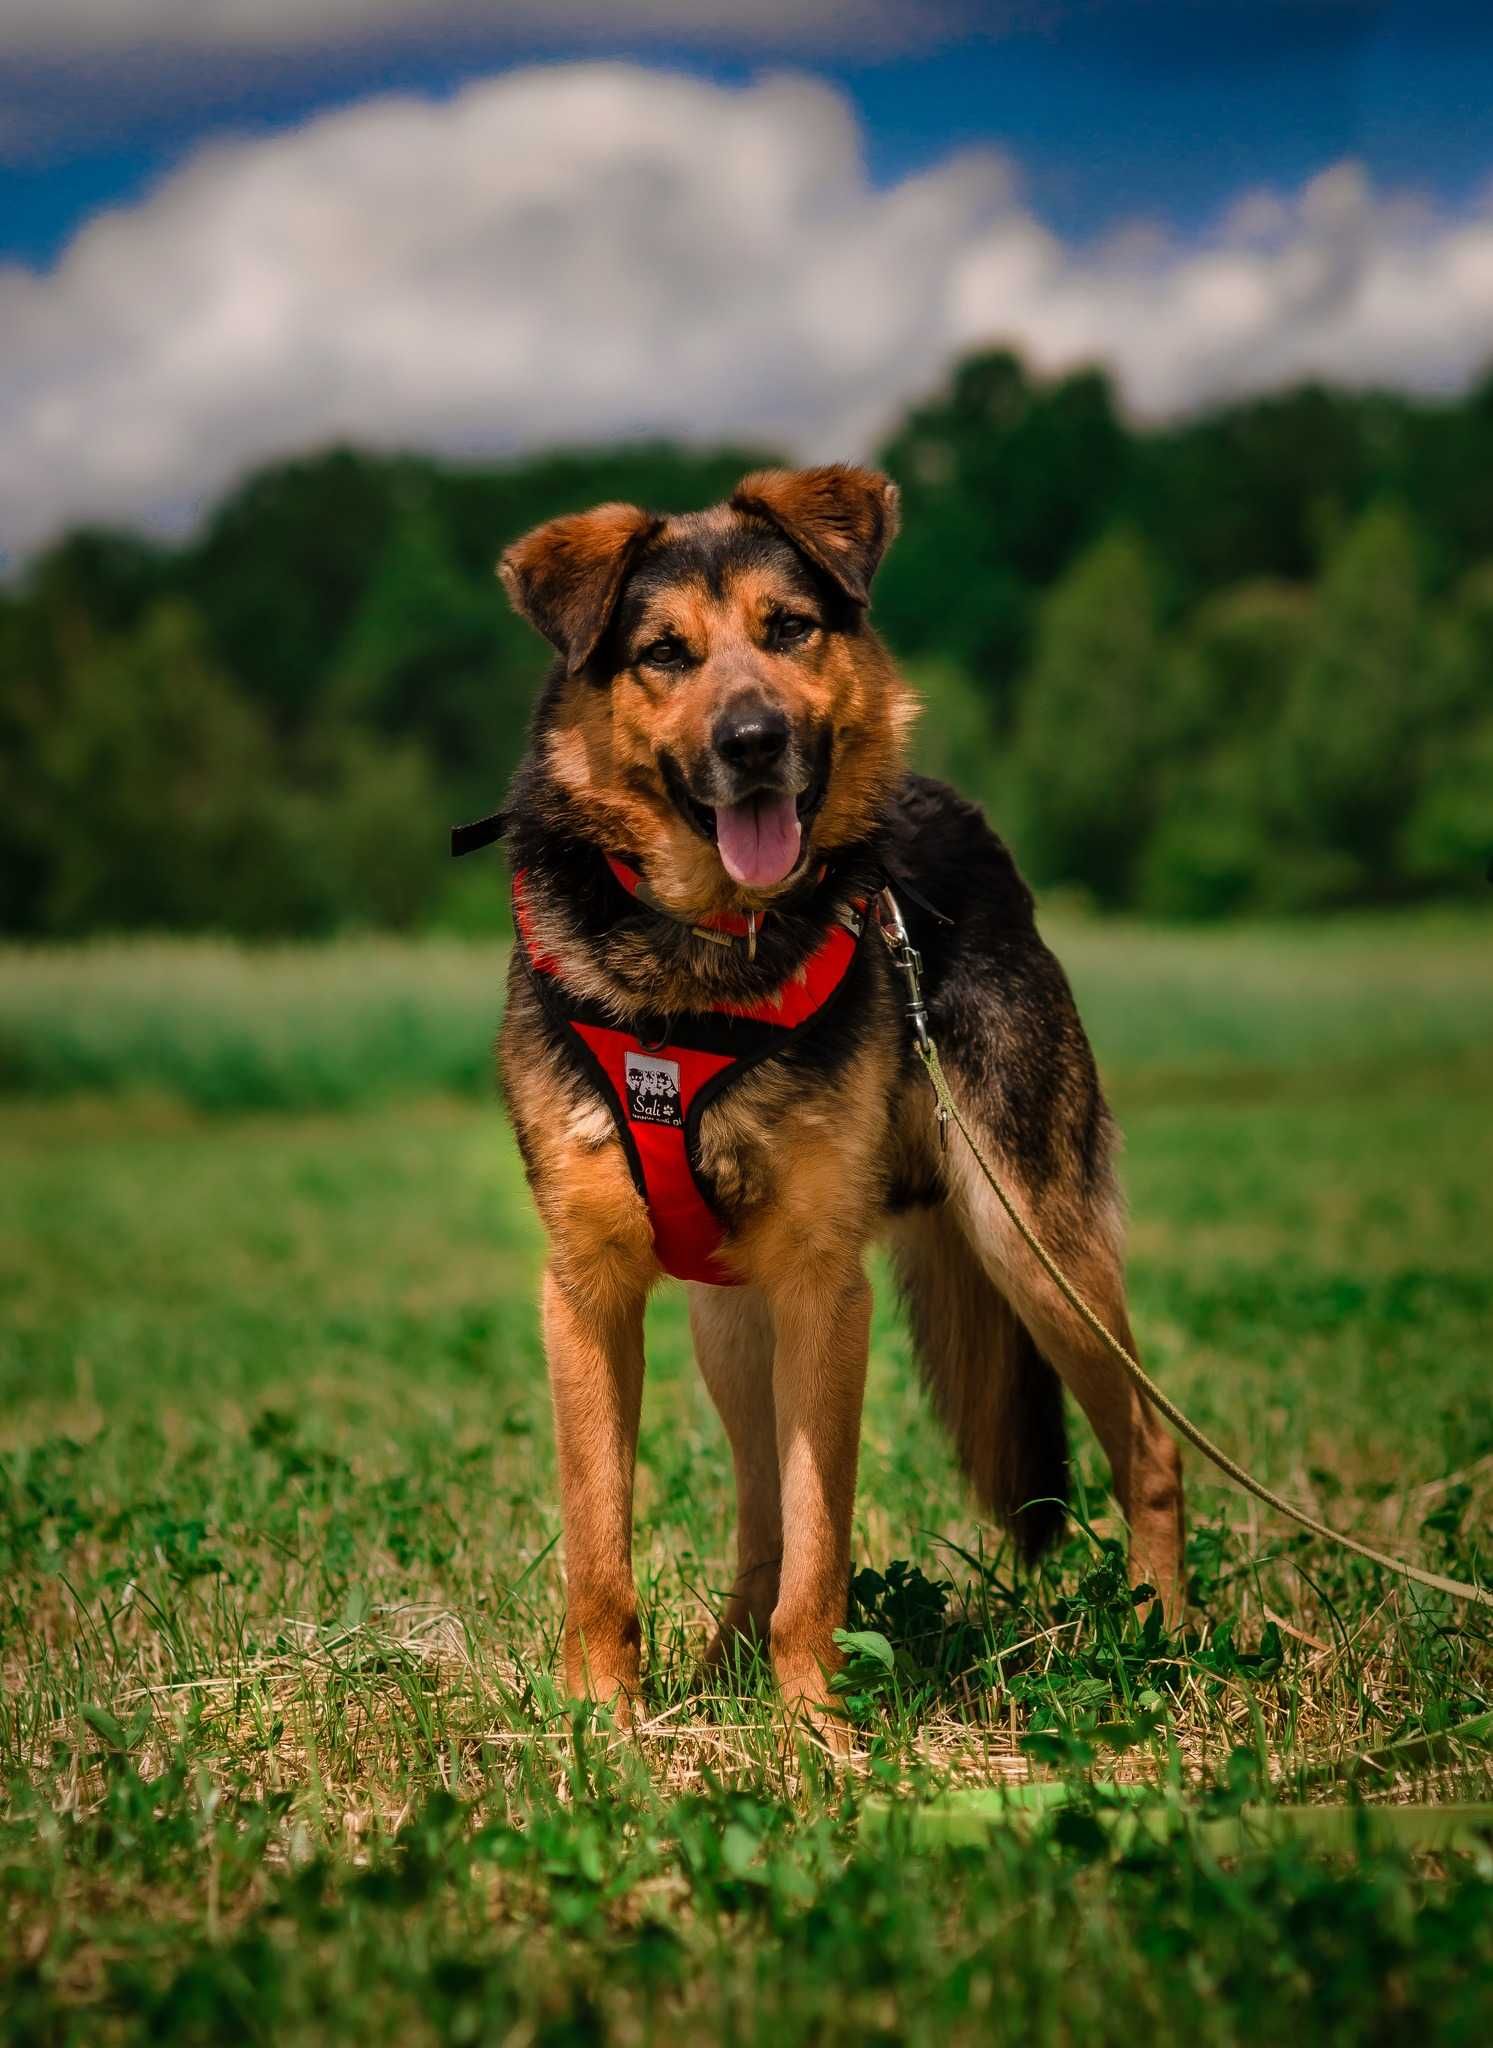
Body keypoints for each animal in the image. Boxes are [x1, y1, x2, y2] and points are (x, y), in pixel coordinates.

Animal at [485, 460, 1179, 1728]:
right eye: (662, 651)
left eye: (789, 629)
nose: (754, 739)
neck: (702, 954)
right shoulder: (588, 1289)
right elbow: (601, 1540)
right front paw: (601, 1718)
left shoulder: (822, 1288)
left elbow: (821, 1543)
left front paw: (814, 1723)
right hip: (727, 1316)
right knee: (756, 1518)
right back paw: (721, 1663)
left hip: (1027, 1241)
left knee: (1149, 1450)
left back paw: (1171, 1640)